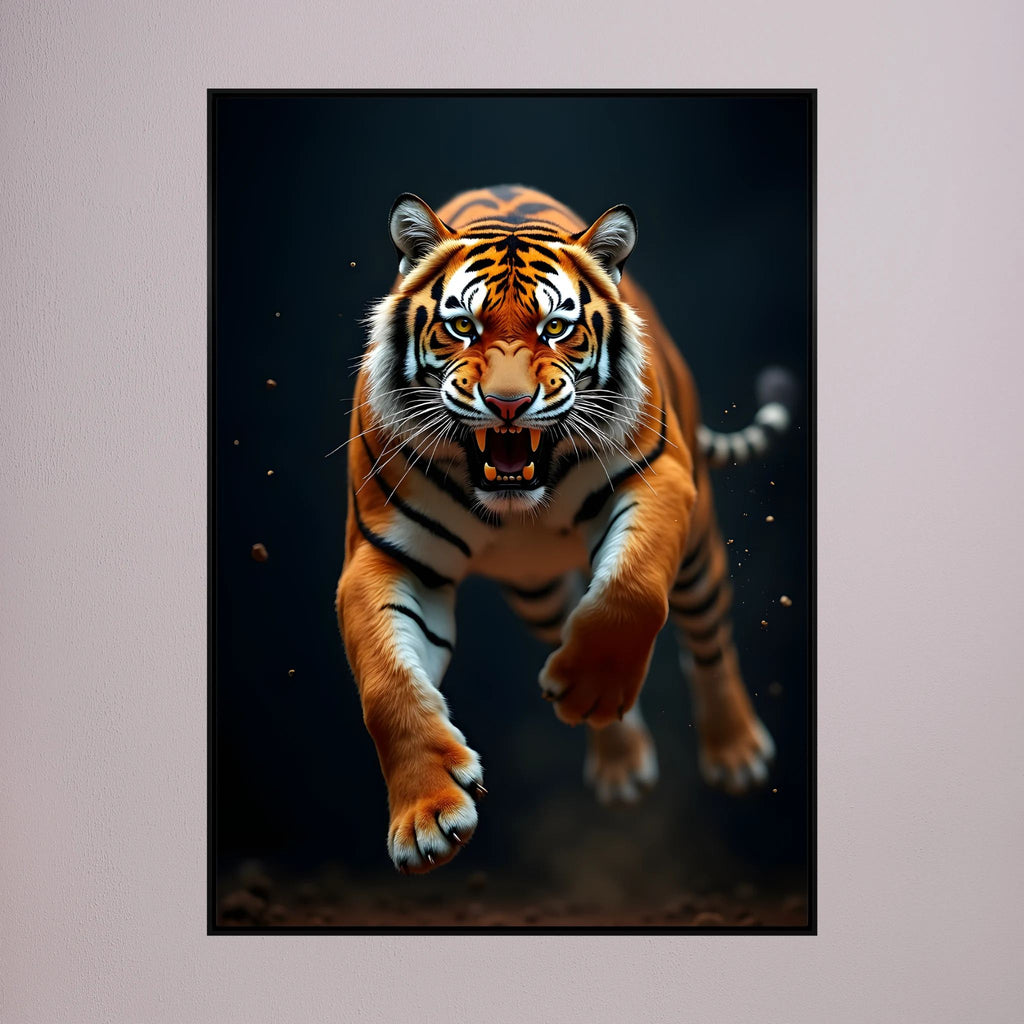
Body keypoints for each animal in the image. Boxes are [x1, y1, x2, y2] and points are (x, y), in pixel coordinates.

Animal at [336, 184, 793, 874]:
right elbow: (386, 687)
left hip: (698, 554)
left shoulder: (660, 481)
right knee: (568, 619)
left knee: (707, 639)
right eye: (462, 326)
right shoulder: (382, 555)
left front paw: (593, 687)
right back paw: (619, 763)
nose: (507, 404)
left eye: (556, 327)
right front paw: (426, 820)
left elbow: (632, 590)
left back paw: (735, 752)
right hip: (535, 589)